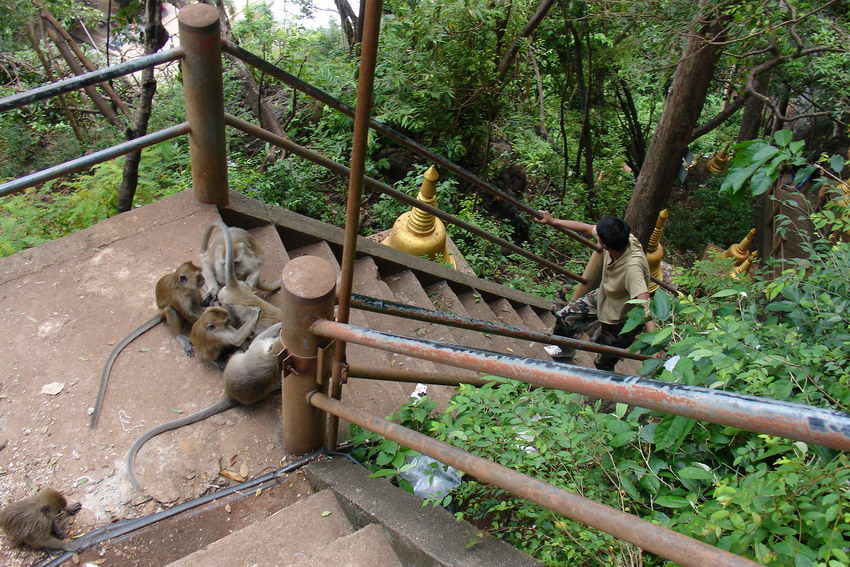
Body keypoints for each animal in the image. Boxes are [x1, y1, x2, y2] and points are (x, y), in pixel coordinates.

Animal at [90, 262, 206, 430]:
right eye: (197, 276)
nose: (203, 279)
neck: (184, 288)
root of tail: (159, 312)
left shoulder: (193, 292)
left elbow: (197, 305)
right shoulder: (179, 298)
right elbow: (188, 314)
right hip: (164, 313)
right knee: (170, 310)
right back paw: (180, 336)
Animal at [126, 324, 284, 492]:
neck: (271, 360)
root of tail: (231, 396)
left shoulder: (259, 348)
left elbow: (257, 340)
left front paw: (276, 326)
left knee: (239, 354)